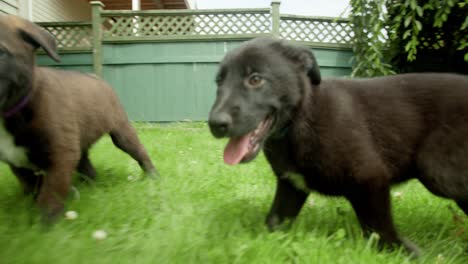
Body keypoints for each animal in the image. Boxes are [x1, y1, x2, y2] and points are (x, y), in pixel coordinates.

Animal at [0, 15, 157, 222]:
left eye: (1, 52)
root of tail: (98, 79)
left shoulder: (61, 156)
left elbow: (50, 196)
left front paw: (48, 225)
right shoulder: (20, 164)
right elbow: (35, 190)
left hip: (122, 131)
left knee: (140, 153)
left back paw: (153, 175)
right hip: (80, 143)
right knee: (88, 168)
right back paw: (91, 187)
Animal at [208, 38, 468, 256]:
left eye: (255, 79)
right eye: (219, 82)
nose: (215, 124)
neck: (300, 118)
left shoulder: (370, 179)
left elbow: (379, 228)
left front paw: (404, 252)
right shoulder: (291, 185)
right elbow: (274, 221)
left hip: (439, 171)